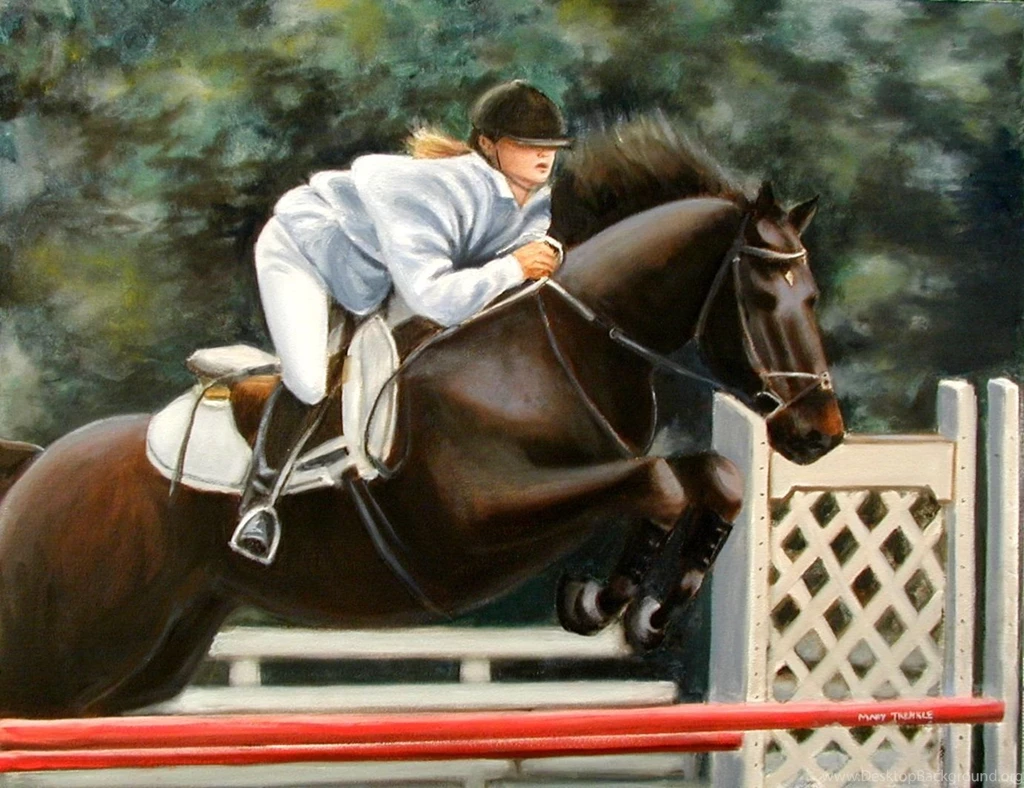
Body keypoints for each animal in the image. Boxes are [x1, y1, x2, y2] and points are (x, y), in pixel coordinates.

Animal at [0, 119, 844, 717]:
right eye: (762, 297)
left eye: (813, 297)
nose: (820, 434)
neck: (556, 351)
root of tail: (36, 466)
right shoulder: (478, 519)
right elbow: (662, 482)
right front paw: (600, 602)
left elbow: (715, 475)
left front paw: (652, 614)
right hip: (58, 654)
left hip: (138, 661)